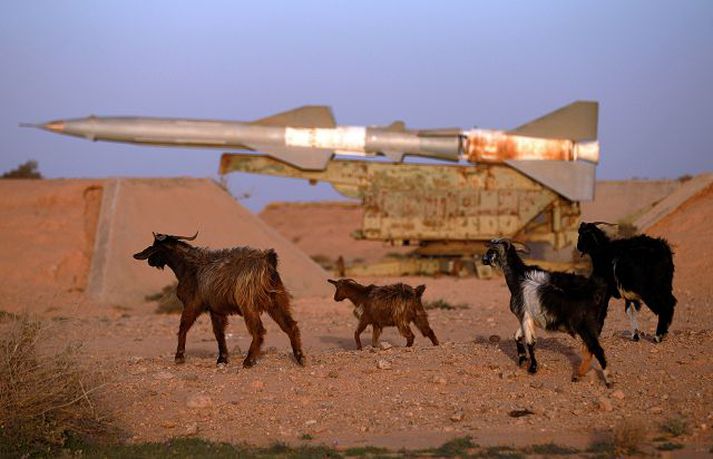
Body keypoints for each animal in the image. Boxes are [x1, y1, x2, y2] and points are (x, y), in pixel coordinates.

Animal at [134, 232, 304, 368]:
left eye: (156, 246)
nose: (149, 261)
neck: (191, 268)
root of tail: (268, 261)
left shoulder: (192, 305)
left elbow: (183, 328)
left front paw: (179, 357)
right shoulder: (216, 310)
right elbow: (219, 333)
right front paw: (222, 359)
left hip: (249, 305)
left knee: (258, 330)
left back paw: (248, 361)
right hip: (277, 302)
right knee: (290, 326)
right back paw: (300, 358)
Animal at [484, 241, 612, 388]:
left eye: (491, 251)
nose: (483, 259)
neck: (519, 278)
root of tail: (598, 291)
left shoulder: (525, 316)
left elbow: (530, 342)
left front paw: (532, 368)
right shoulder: (527, 318)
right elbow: (517, 336)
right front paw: (522, 359)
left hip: (585, 325)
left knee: (597, 349)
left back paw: (608, 381)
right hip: (594, 325)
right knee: (589, 350)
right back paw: (578, 375)